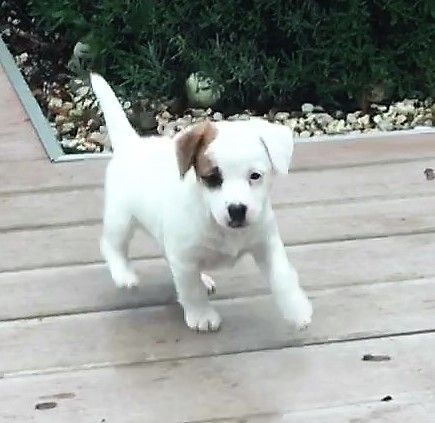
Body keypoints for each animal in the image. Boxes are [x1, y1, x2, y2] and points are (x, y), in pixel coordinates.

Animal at [91, 73, 312, 332]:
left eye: (255, 176)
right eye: (212, 178)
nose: (237, 210)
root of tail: (131, 144)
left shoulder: (267, 243)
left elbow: (282, 276)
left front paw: (297, 310)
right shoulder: (184, 259)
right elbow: (191, 290)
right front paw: (202, 315)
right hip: (121, 218)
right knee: (110, 245)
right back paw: (124, 274)